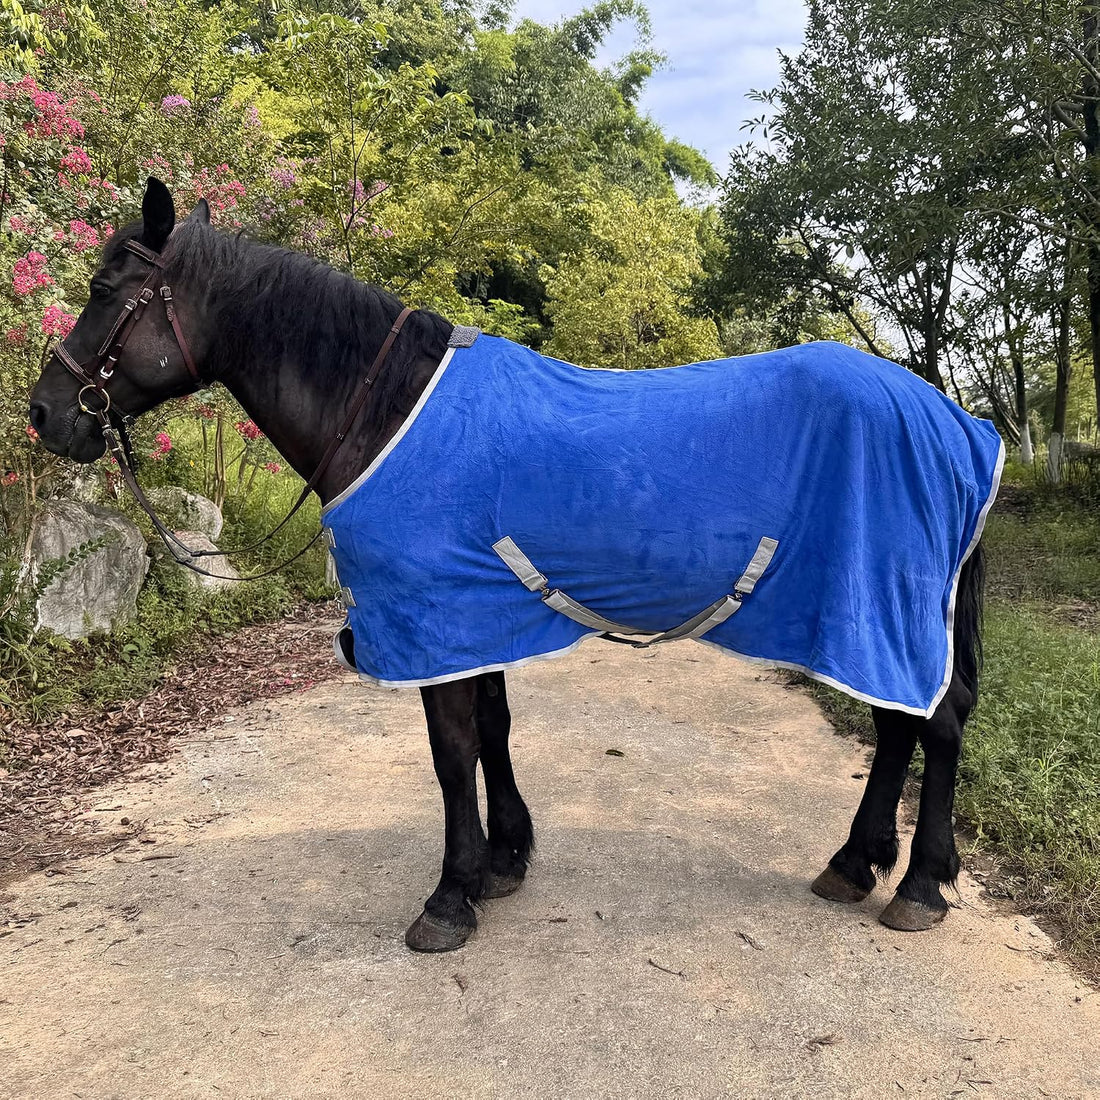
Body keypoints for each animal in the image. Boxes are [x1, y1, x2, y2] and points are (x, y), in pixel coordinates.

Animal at [29, 178, 997, 952]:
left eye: (106, 290)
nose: (45, 412)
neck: (385, 409)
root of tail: (956, 419)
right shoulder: (474, 613)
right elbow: (492, 731)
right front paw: (503, 861)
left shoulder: (435, 617)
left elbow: (452, 753)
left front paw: (450, 897)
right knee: (902, 723)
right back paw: (858, 863)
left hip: (881, 601)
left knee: (935, 722)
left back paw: (916, 884)